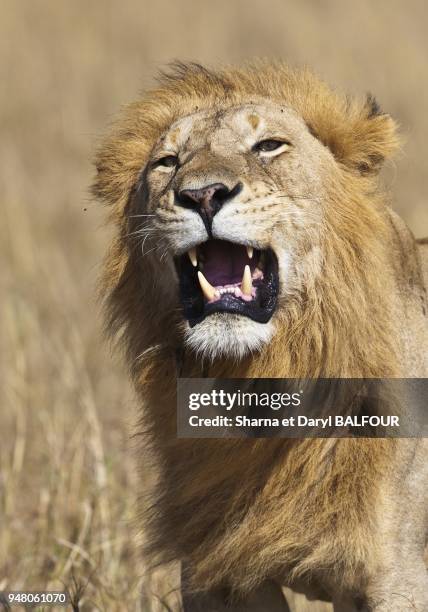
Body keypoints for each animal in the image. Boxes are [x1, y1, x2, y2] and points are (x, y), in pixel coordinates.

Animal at [93, 63, 428, 612]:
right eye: (168, 162)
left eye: (269, 146)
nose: (202, 195)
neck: (263, 385)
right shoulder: (214, 571)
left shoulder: (397, 575)